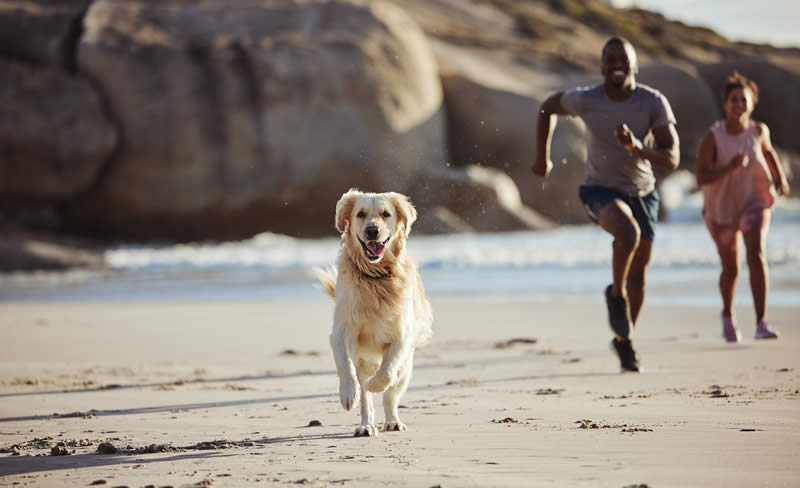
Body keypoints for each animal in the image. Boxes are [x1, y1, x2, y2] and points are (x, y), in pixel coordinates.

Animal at [318, 189, 432, 436]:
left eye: (386, 214)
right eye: (360, 214)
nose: (372, 231)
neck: (375, 278)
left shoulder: (402, 336)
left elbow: (387, 372)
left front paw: (375, 384)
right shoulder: (341, 331)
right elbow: (346, 366)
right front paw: (348, 393)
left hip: (406, 369)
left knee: (391, 394)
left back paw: (392, 421)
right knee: (365, 398)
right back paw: (366, 425)